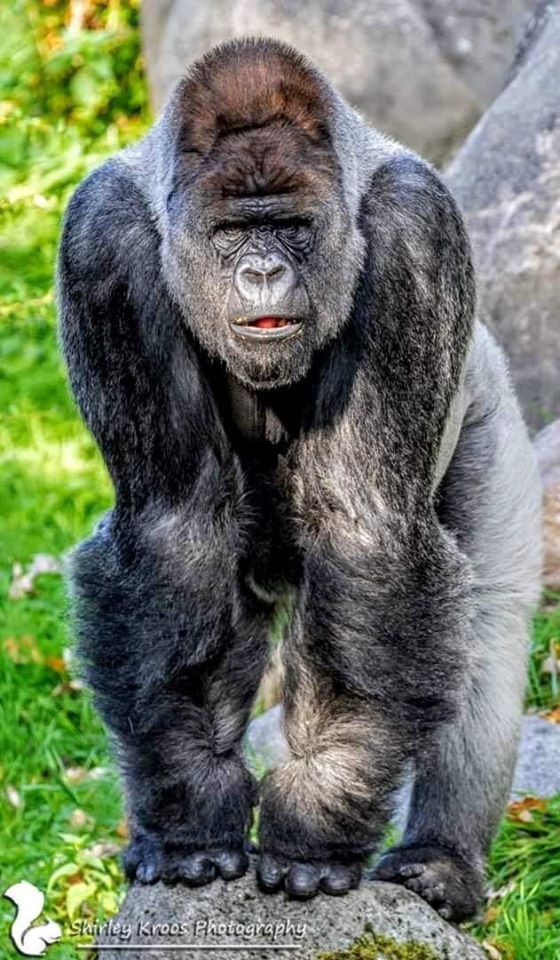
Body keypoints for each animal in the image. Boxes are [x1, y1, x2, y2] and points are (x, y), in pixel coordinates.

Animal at [58, 39, 544, 924]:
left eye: (287, 225)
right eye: (233, 231)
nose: (260, 273)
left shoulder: (416, 230)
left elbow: (367, 532)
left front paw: (315, 823)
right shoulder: (100, 243)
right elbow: (175, 530)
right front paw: (191, 826)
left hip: (490, 395)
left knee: (488, 626)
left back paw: (441, 861)